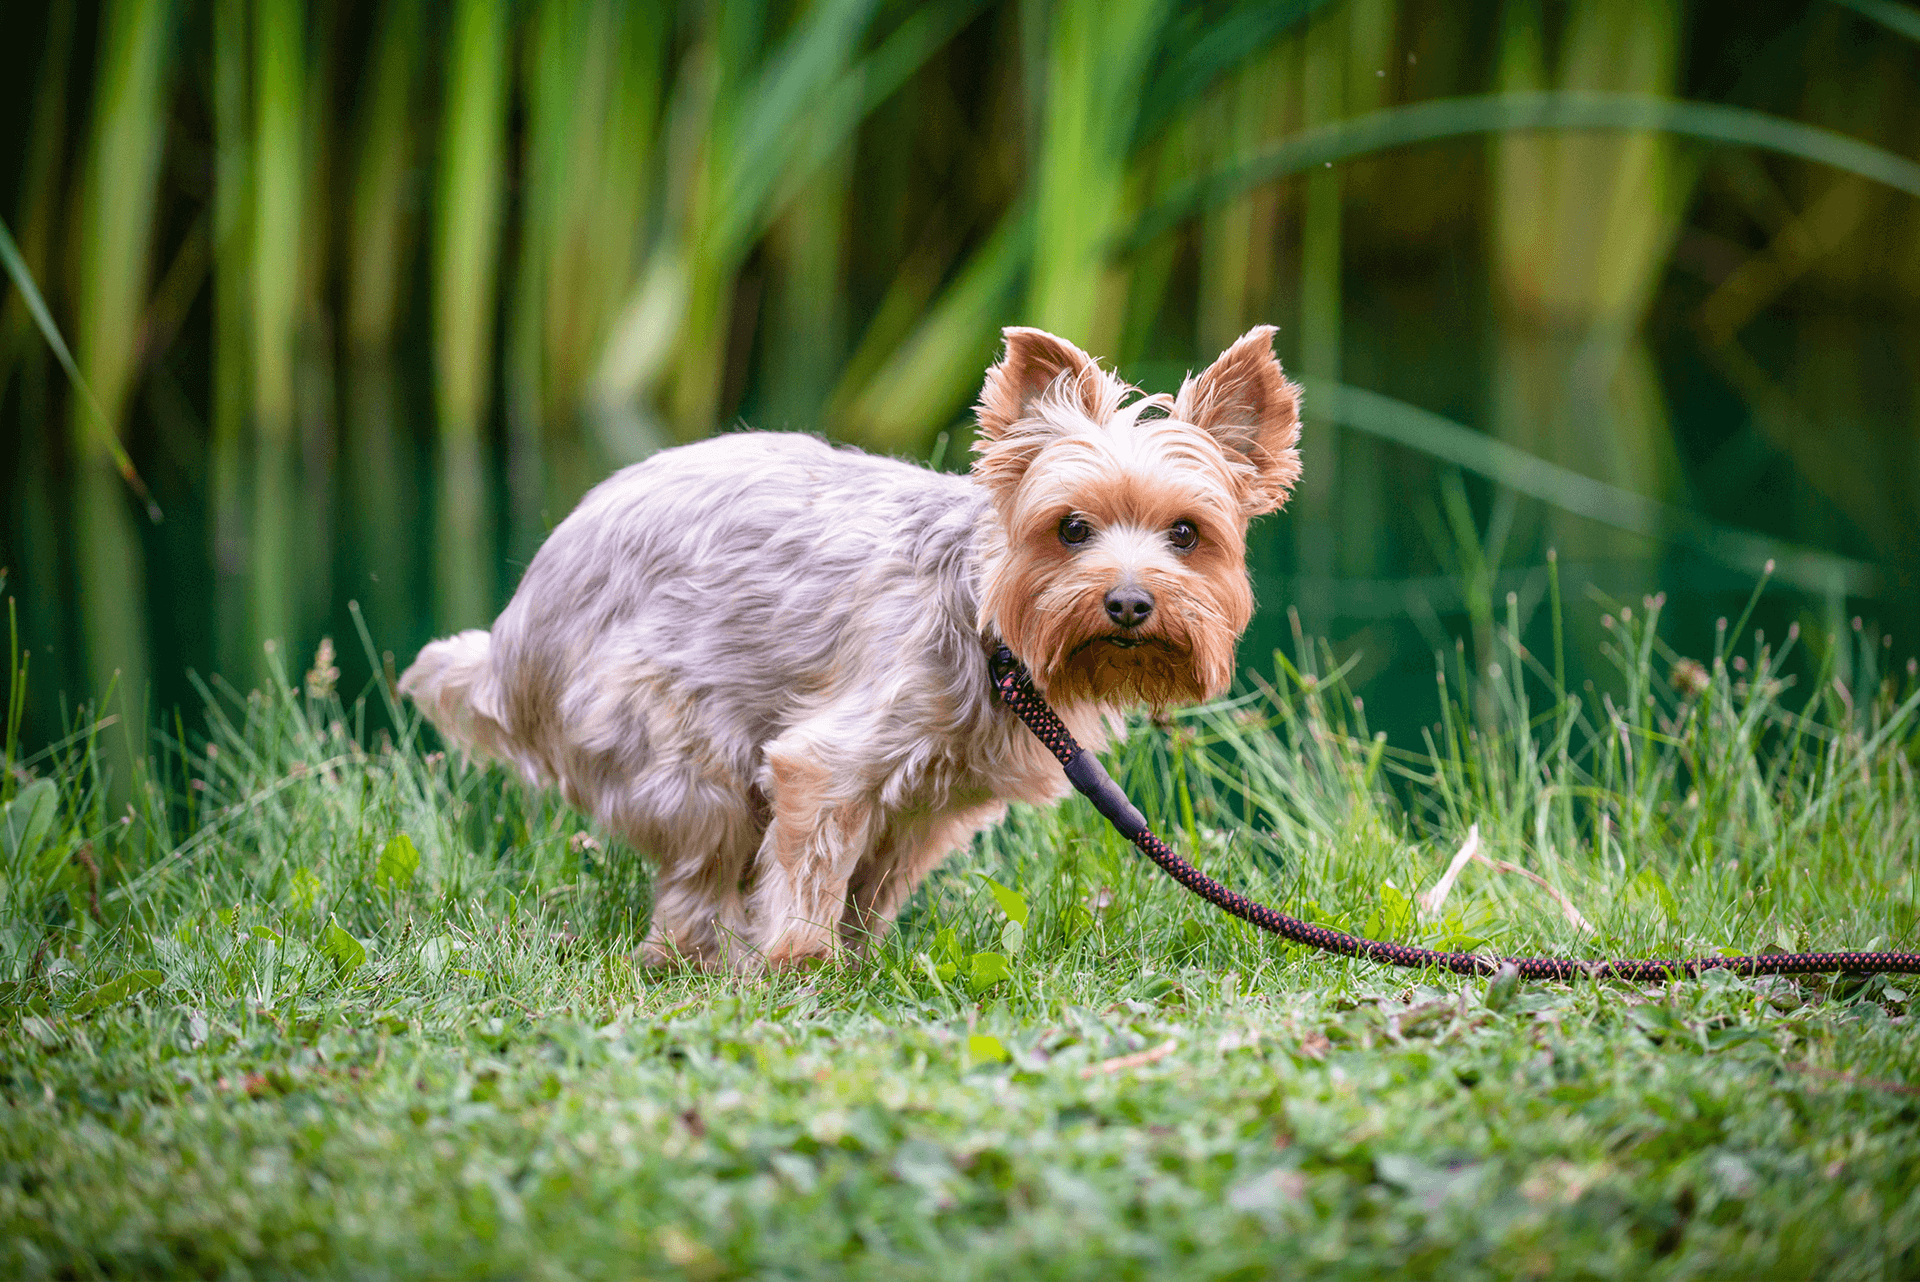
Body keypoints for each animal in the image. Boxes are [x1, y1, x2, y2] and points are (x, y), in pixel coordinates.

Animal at [403, 328, 1305, 971]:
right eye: (1071, 528)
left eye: (1187, 534)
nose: (1127, 602)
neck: (988, 627)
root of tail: (512, 644)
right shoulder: (829, 762)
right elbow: (810, 874)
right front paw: (801, 967)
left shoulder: (926, 811)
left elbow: (871, 888)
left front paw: (858, 960)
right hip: (671, 741)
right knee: (697, 876)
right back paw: (698, 957)